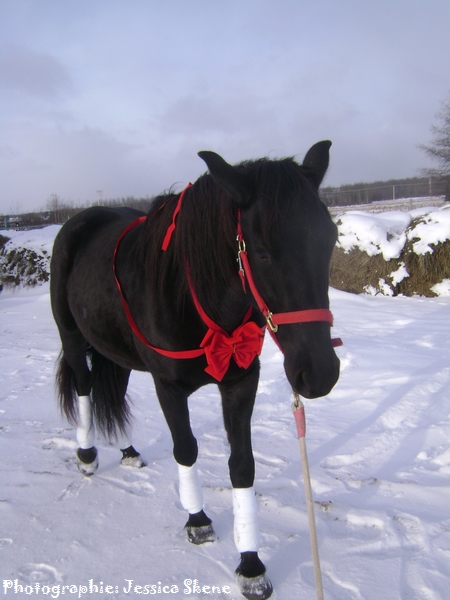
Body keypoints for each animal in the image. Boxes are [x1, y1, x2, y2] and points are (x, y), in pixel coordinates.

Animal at [51, 139, 340, 596]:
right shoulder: (168, 387)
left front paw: (251, 564)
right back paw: (87, 454)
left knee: (111, 389)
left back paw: (128, 450)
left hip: (115, 349)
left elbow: (242, 464)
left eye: (330, 239)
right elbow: (185, 449)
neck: (191, 295)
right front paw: (198, 521)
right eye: (261, 252)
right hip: (72, 338)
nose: (320, 373)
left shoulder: (241, 381)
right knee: (84, 386)